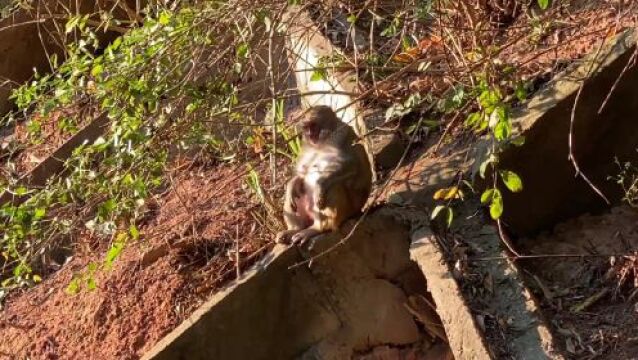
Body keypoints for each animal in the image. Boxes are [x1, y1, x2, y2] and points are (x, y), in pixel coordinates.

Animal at [276, 104, 376, 245]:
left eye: (313, 126)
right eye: (306, 127)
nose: (310, 134)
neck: (322, 143)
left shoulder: (342, 136)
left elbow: (351, 164)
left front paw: (320, 185)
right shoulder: (306, 147)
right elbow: (302, 173)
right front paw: (291, 185)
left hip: (348, 211)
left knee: (334, 186)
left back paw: (318, 228)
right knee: (297, 193)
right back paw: (294, 230)